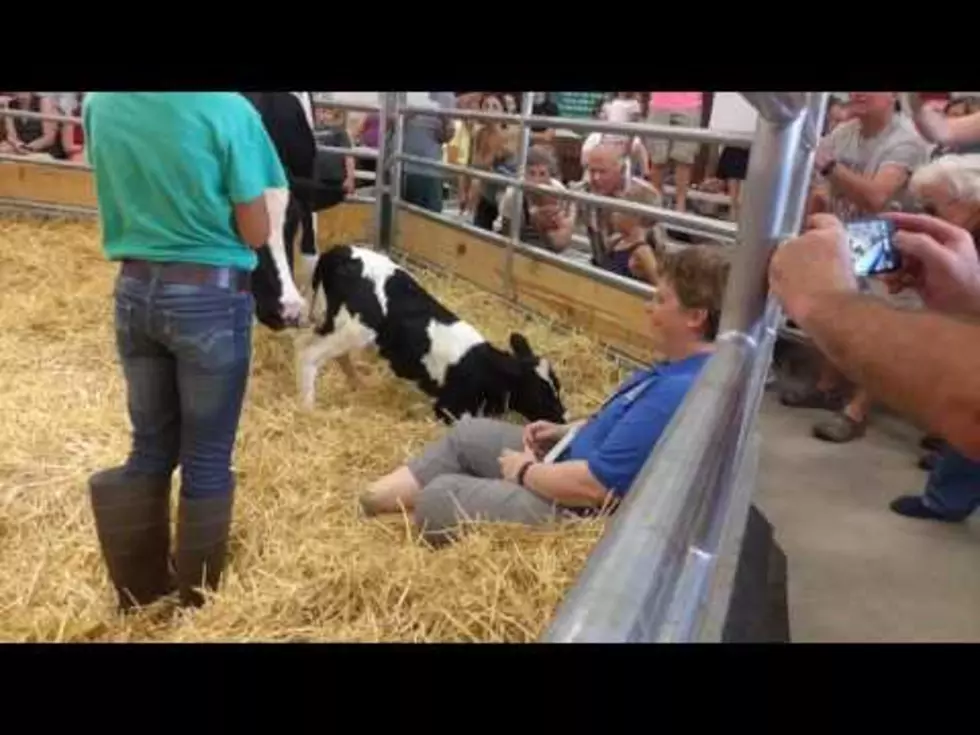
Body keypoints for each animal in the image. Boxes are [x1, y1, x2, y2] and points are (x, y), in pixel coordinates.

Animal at [292, 244, 568, 422]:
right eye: (541, 393)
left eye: (557, 385)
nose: (564, 417)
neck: (484, 368)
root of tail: (339, 251)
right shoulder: (448, 407)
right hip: (355, 329)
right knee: (308, 354)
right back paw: (308, 408)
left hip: (335, 324)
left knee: (323, 350)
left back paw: (359, 383)